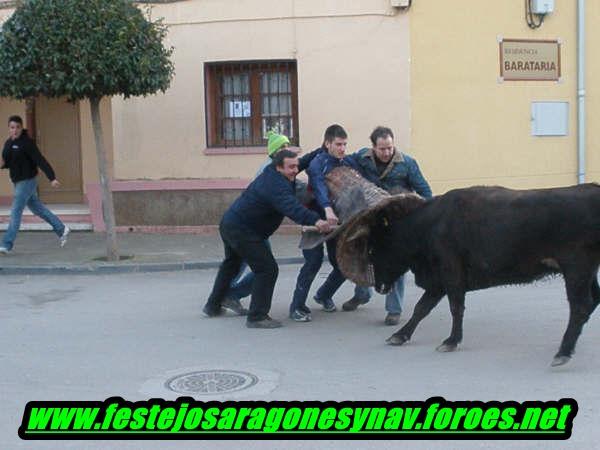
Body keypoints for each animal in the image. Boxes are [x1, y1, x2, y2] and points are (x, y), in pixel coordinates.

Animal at [340, 183, 600, 366]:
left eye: (373, 248)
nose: (378, 286)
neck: (428, 226)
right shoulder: (437, 282)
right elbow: (421, 309)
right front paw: (400, 335)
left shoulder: (450, 274)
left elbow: (455, 307)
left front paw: (451, 341)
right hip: (587, 271)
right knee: (591, 301)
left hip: (575, 269)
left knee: (579, 307)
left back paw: (563, 351)